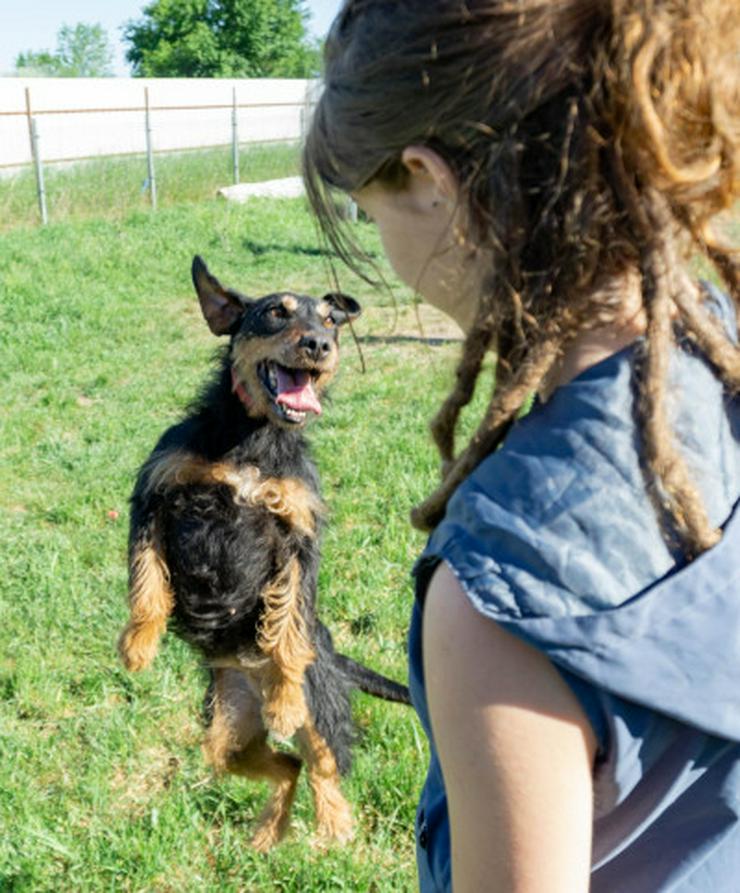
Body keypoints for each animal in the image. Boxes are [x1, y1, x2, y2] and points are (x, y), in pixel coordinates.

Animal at [120, 254, 410, 848]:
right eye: (276, 312)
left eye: (331, 320)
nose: (320, 344)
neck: (252, 438)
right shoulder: (155, 496)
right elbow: (146, 580)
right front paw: (137, 645)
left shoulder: (299, 536)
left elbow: (287, 624)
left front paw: (283, 692)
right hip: (225, 734)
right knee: (286, 766)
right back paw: (268, 833)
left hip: (320, 708)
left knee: (322, 762)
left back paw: (334, 825)